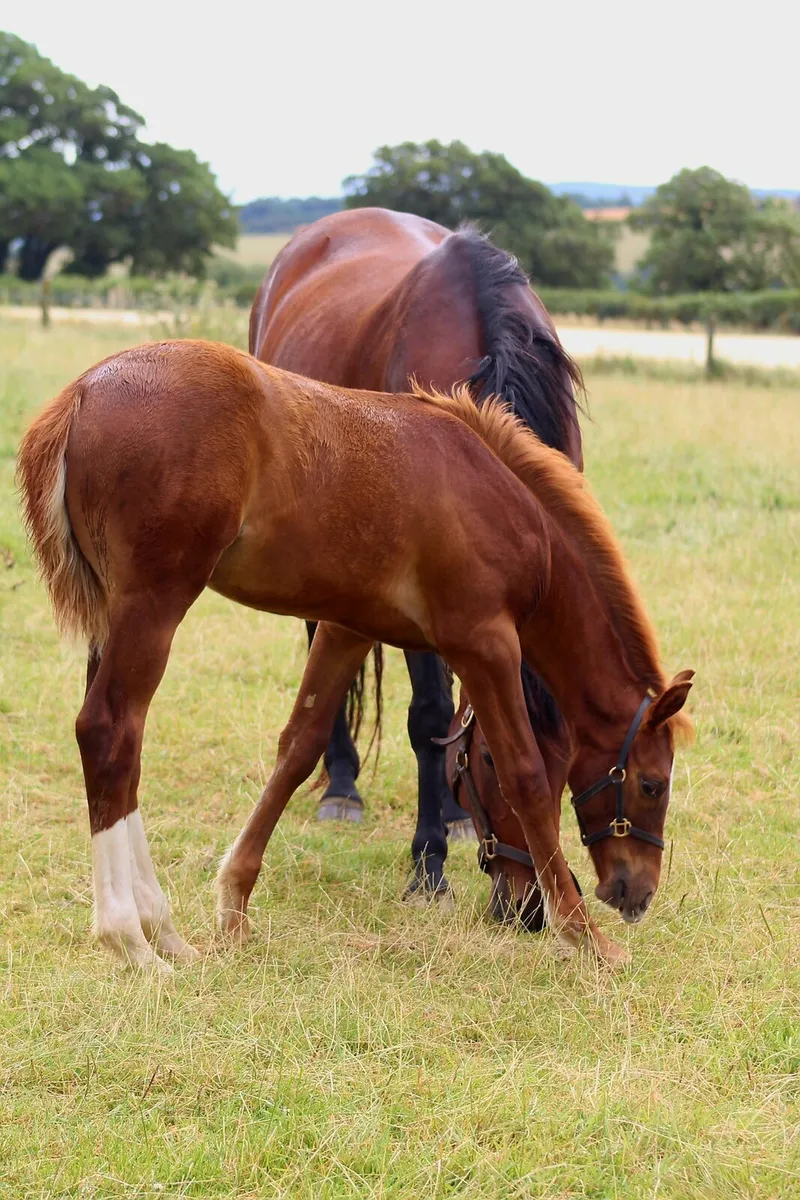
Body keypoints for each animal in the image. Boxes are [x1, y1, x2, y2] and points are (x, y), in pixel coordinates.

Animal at [17, 339, 693, 975]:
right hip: (153, 605)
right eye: (653, 784)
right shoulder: (484, 641)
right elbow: (524, 773)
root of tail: (82, 393)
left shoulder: (347, 630)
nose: (636, 893)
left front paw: (234, 906)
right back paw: (132, 939)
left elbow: (300, 746)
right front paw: (588, 939)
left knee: (120, 749)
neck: (501, 501)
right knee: (110, 731)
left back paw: (168, 934)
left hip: (113, 616)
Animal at [250, 207, 583, 907]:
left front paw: (448, 825)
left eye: (569, 768)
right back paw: (343, 787)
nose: (526, 908)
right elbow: (429, 714)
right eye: (489, 764)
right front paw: (427, 864)